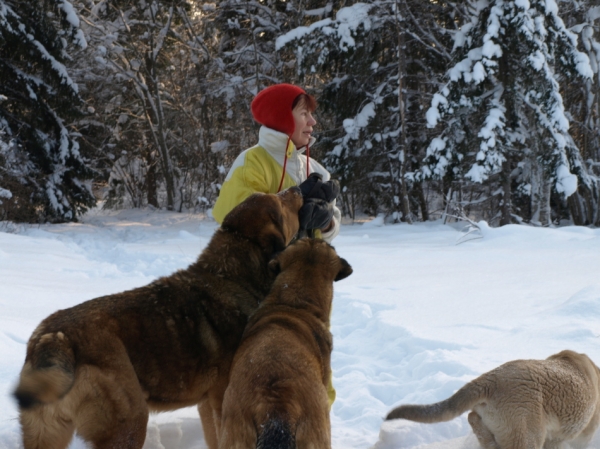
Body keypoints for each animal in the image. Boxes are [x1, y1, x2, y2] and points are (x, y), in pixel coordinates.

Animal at [12, 186, 304, 448]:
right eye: (280, 203)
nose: (298, 189)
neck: (231, 276)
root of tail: (53, 338)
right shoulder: (223, 399)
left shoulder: (207, 404)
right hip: (130, 422)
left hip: (47, 432)